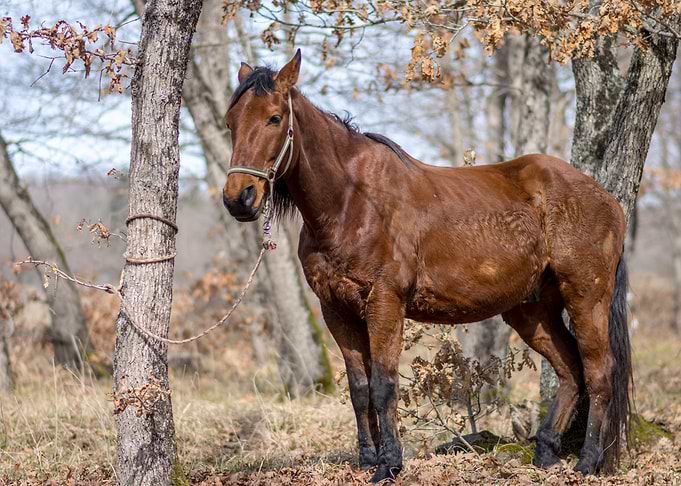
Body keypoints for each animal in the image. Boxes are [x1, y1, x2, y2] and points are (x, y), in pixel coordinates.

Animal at [222, 50, 632, 483]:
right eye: (232, 122)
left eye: (274, 118)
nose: (238, 198)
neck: (351, 203)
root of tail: (607, 198)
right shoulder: (335, 310)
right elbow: (359, 388)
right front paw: (367, 459)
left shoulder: (385, 303)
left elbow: (383, 386)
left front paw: (389, 464)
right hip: (531, 310)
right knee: (570, 369)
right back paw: (546, 452)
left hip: (586, 295)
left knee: (599, 371)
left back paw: (588, 462)